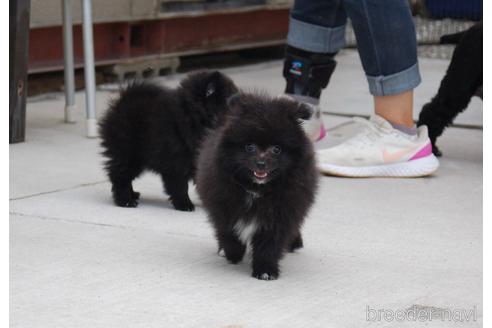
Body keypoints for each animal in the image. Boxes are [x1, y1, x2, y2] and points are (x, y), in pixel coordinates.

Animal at [99, 70, 237, 211]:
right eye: (227, 102)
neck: (192, 118)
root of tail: (122, 102)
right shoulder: (175, 163)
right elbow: (180, 187)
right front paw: (184, 204)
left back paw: (133, 194)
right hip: (129, 154)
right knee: (120, 176)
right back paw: (125, 200)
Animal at [197, 93, 320, 280]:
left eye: (276, 149)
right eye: (250, 147)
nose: (261, 163)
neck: (257, 190)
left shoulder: (281, 213)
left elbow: (269, 244)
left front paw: (265, 270)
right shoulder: (223, 204)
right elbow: (228, 232)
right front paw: (233, 253)